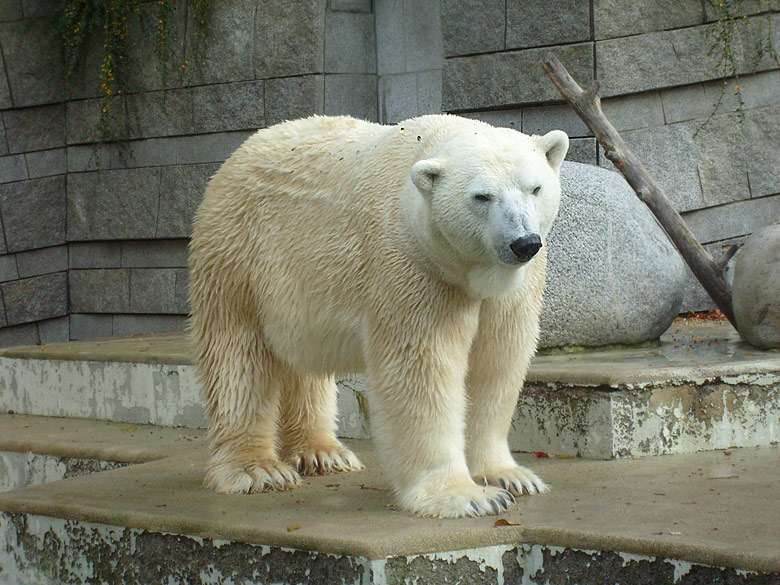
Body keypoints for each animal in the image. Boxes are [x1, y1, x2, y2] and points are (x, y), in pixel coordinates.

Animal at [189, 114, 568, 516]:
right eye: (481, 196)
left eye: (535, 188)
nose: (524, 242)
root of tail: (236, 156)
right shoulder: (412, 266)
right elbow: (422, 369)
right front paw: (467, 496)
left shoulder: (513, 289)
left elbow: (497, 361)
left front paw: (510, 476)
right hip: (238, 253)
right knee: (237, 357)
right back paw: (257, 470)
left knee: (304, 361)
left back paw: (324, 452)